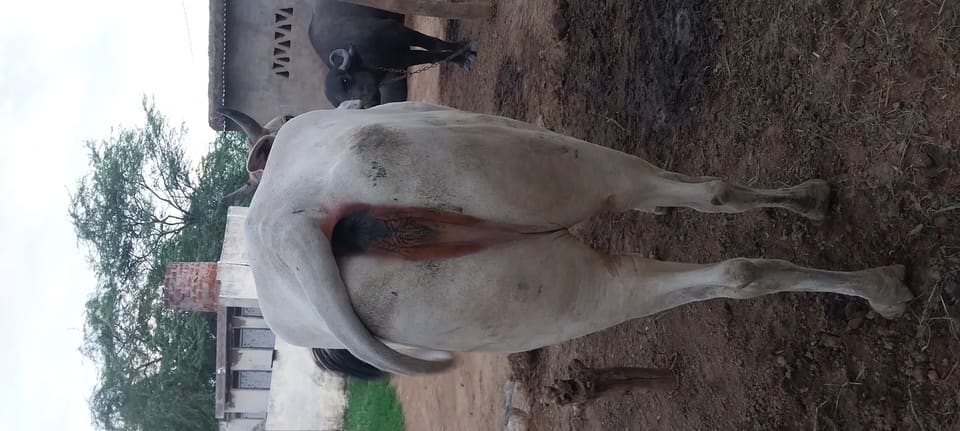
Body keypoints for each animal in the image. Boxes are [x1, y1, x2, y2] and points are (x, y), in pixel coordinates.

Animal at [308, 7, 477, 108]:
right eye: (340, 101)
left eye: (345, 81)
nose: (364, 105)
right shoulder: (402, 58)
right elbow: (432, 56)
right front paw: (462, 57)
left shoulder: (398, 31)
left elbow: (434, 44)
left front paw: (465, 50)